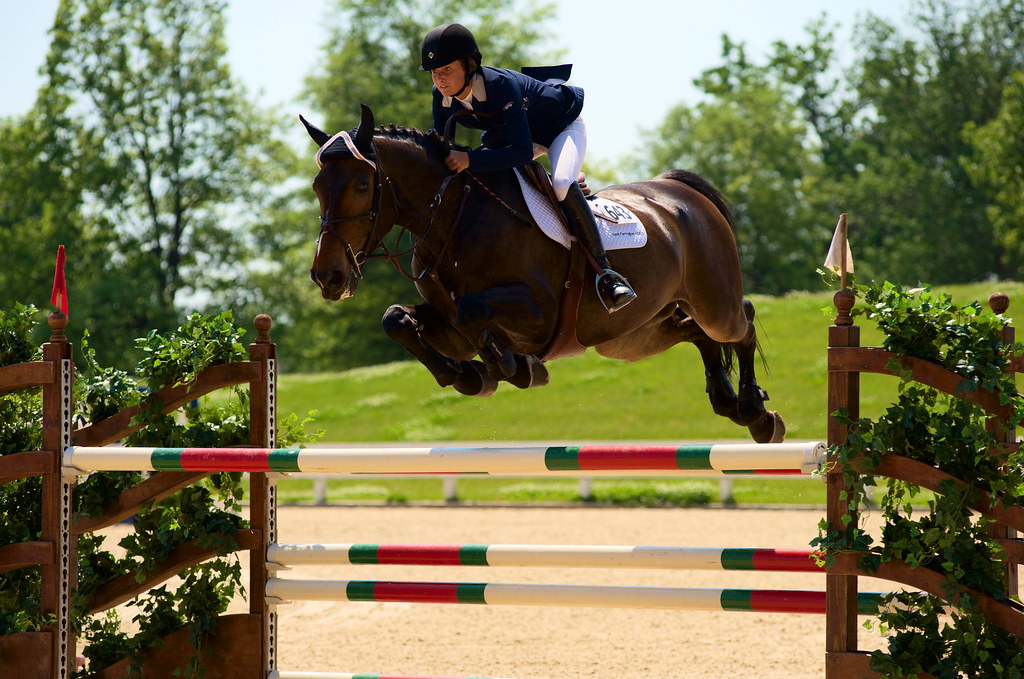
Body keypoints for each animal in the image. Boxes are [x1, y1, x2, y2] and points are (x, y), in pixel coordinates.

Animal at [301, 105, 784, 443]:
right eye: (317, 186)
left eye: (362, 185)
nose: (329, 277)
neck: (453, 218)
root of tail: (677, 190)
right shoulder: (447, 326)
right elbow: (398, 319)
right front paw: (469, 376)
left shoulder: (538, 312)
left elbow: (473, 311)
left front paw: (514, 368)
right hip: (632, 336)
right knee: (696, 333)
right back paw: (728, 401)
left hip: (712, 302)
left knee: (740, 321)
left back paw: (756, 412)